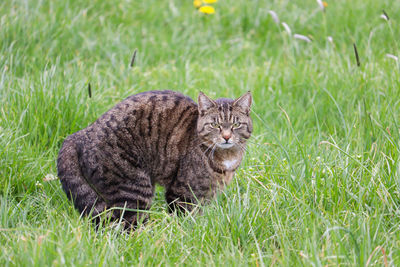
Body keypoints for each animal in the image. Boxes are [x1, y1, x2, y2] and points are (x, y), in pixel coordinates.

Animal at [56, 91, 253, 229]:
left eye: (236, 124)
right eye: (215, 124)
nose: (226, 137)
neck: (227, 157)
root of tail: (81, 133)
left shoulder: (206, 196)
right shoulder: (181, 192)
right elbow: (185, 220)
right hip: (134, 189)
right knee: (128, 226)